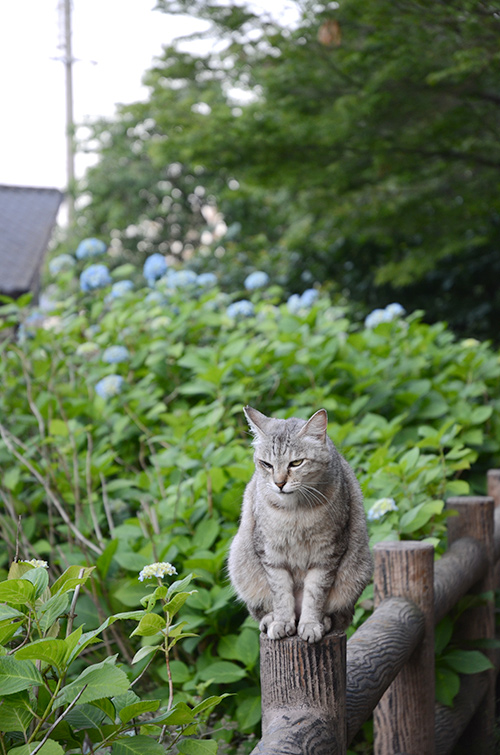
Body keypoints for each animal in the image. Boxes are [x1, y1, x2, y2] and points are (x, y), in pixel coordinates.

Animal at [229, 408, 374, 644]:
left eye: (296, 463)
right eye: (266, 464)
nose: (279, 483)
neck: (295, 511)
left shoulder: (327, 554)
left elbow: (314, 595)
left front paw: (310, 624)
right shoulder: (271, 554)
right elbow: (280, 593)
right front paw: (282, 622)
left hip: (356, 574)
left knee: (339, 616)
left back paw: (323, 621)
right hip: (240, 566)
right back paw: (270, 619)